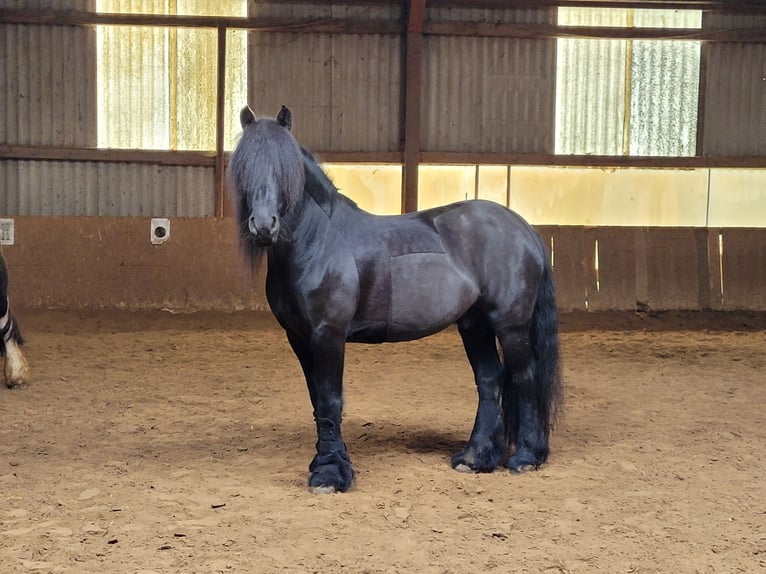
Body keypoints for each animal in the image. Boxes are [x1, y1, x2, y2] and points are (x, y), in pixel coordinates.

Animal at [228, 105, 562, 494]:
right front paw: (328, 463)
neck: (320, 241)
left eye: (287, 170)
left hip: (511, 325)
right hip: (474, 324)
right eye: (245, 167)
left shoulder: (328, 335)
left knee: (525, 377)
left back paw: (526, 457)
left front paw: (330, 474)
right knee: (490, 379)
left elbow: (330, 399)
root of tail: (523, 229)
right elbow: (317, 401)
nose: (264, 226)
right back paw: (475, 457)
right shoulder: (298, 338)